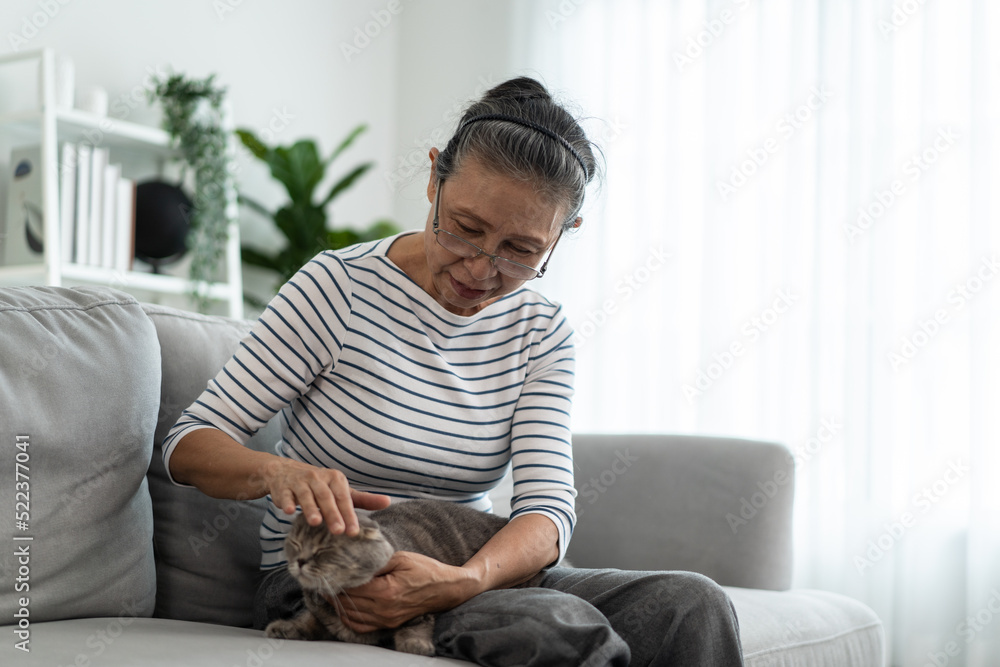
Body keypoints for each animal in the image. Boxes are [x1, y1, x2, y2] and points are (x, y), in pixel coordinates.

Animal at [264, 498, 548, 656]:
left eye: (324, 549)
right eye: (296, 544)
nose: (300, 561)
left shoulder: (417, 606)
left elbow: (414, 627)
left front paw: (416, 645)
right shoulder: (319, 611)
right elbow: (308, 619)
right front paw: (286, 627)